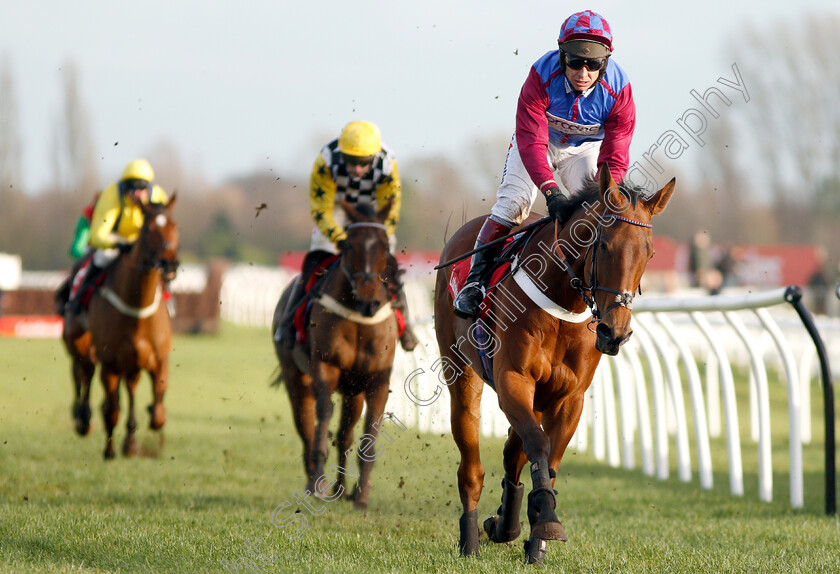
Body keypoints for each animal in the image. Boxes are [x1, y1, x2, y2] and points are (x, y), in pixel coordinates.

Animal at [62, 196, 180, 462]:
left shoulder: (158, 360)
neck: (136, 308)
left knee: (130, 387)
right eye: (148, 229)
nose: (169, 263)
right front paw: (108, 450)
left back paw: (130, 440)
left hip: (132, 362)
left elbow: (158, 414)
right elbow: (111, 409)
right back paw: (83, 419)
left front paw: (140, 432)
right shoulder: (111, 364)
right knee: (84, 372)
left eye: (175, 225)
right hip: (80, 342)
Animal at [270, 201, 398, 512]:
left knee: (344, 434)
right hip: (296, 378)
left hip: (354, 390)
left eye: (384, 246)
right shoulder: (324, 367)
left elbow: (368, 434)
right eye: (349, 246)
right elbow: (323, 415)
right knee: (306, 426)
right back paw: (315, 482)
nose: (369, 301)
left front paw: (361, 495)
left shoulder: (377, 380)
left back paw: (341, 489)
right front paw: (318, 482)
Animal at [434, 164, 676, 564]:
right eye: (603, 244)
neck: (564, 299)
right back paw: (470, 540)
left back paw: (504, 524)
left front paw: (535, 538)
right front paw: (546, 519)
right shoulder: (513, 379)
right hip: (461, 372)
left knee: (512, 453)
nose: (615, 332)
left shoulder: (568, 397)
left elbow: (547, 457)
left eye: (650, 252)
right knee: (472, 465)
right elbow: (537, 444)